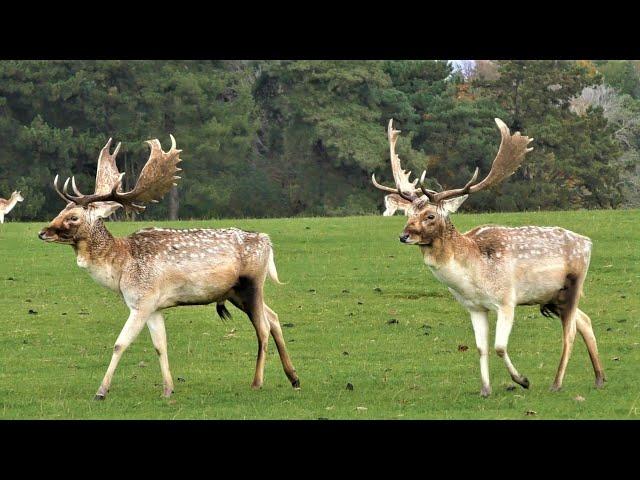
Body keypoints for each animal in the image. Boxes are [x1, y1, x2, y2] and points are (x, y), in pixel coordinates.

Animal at [38, 137, 298, 400]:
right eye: (60, 211)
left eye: (73, 217)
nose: (42, 232)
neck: (120, 268)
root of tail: (267, 241)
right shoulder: (155, 307)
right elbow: (160, 346)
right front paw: (168, 389)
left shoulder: (142, 302)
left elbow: (120, 343)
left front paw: (101, 391)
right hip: (235, 292)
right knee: (274, 317)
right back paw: (294, 378)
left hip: (252, 283)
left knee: (263, 327)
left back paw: (257, 382)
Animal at [370, 118, 604, 396]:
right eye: (408, 214)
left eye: (430, 215)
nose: (404, 235)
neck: (472, 276)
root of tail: (587, 242)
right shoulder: (474, 307)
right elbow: (481, 348)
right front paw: (485, 389)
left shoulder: (506, 300)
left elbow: (499, 347)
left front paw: (522, 380)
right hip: (552, 296)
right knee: (585, 320)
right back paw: (600, 378)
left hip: (573, 284)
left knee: (569, 332)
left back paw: (556, 383)